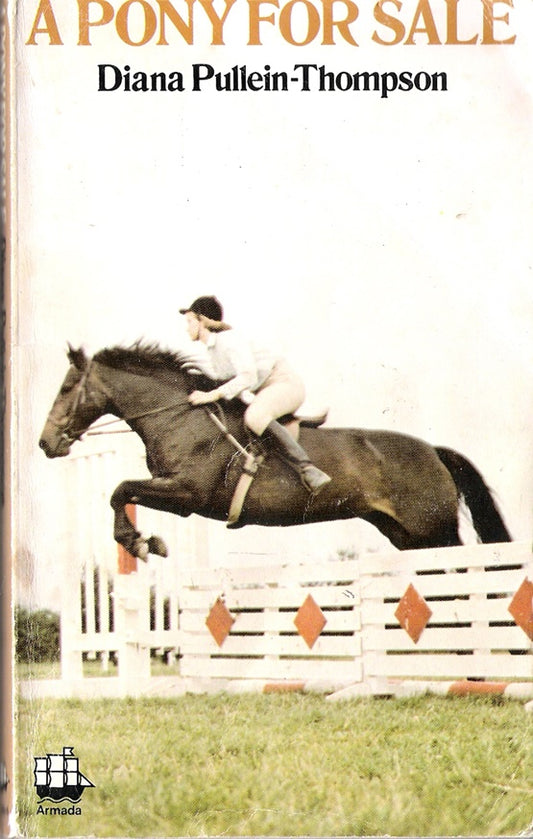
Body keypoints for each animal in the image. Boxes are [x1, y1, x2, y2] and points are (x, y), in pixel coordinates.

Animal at [39, 343, 512, 559]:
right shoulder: (179, 499)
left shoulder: (188, 492)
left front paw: (140, 543)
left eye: (65, 388)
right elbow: (122, 493)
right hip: (406, 536)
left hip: (434, 531)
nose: (45, 443)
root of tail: (433, 451)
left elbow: (119, 489)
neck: (179, 418)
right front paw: (143, 542)